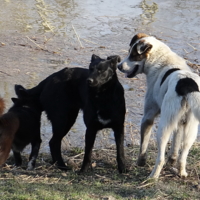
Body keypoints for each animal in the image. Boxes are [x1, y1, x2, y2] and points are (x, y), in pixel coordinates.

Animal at [118, 33, 200, 180]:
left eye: (133, 55)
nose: (119, 66)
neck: (160, 59)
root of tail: (187, 85)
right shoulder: (180, 123)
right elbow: (175, 147)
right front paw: (171, 161)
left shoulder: (148, 117)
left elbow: (143, 146)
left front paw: (140, 162)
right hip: (191, 130)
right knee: (183, 155)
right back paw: (181, 172)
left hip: (164, 128)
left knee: (160, 158)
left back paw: (153, 176)